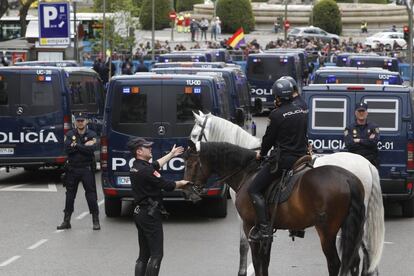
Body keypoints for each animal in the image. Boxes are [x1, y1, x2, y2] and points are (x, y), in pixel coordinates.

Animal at [191, 111, 384, 274]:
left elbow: (244, 247)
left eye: (194, 135)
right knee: (360, 256)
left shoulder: (246, 220)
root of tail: (366, 164)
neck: (248, 168)